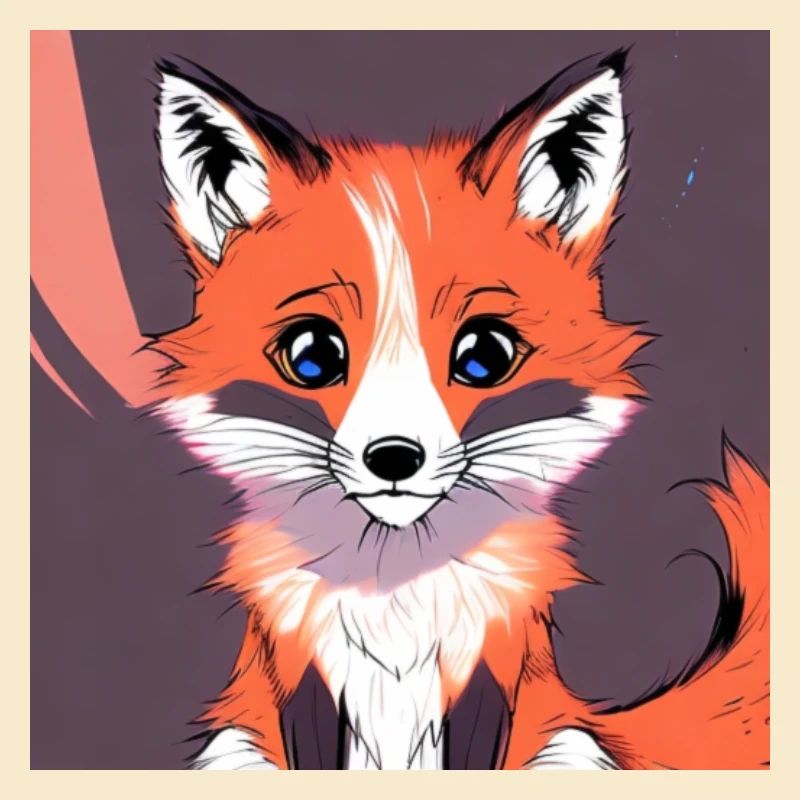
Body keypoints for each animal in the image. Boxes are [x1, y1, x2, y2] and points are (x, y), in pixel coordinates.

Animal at [135, 49, 769, 769]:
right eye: (312, 355)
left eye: (484, 355)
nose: (394, 459)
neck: (394, 593)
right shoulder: (302, 675)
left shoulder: (491, 672)